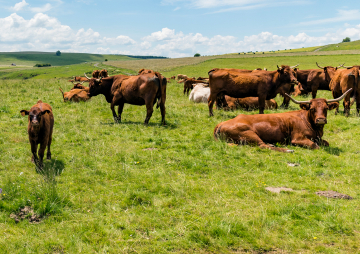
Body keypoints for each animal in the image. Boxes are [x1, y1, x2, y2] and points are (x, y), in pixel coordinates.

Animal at [214, 89, 352, 153]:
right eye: (312, 109)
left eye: (325, 108)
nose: (321, 119)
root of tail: (221, 123)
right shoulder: (297, 139)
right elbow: (315, 146)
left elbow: (325, 143)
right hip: (249, 134)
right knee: (262, 146)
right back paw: (286, 150)